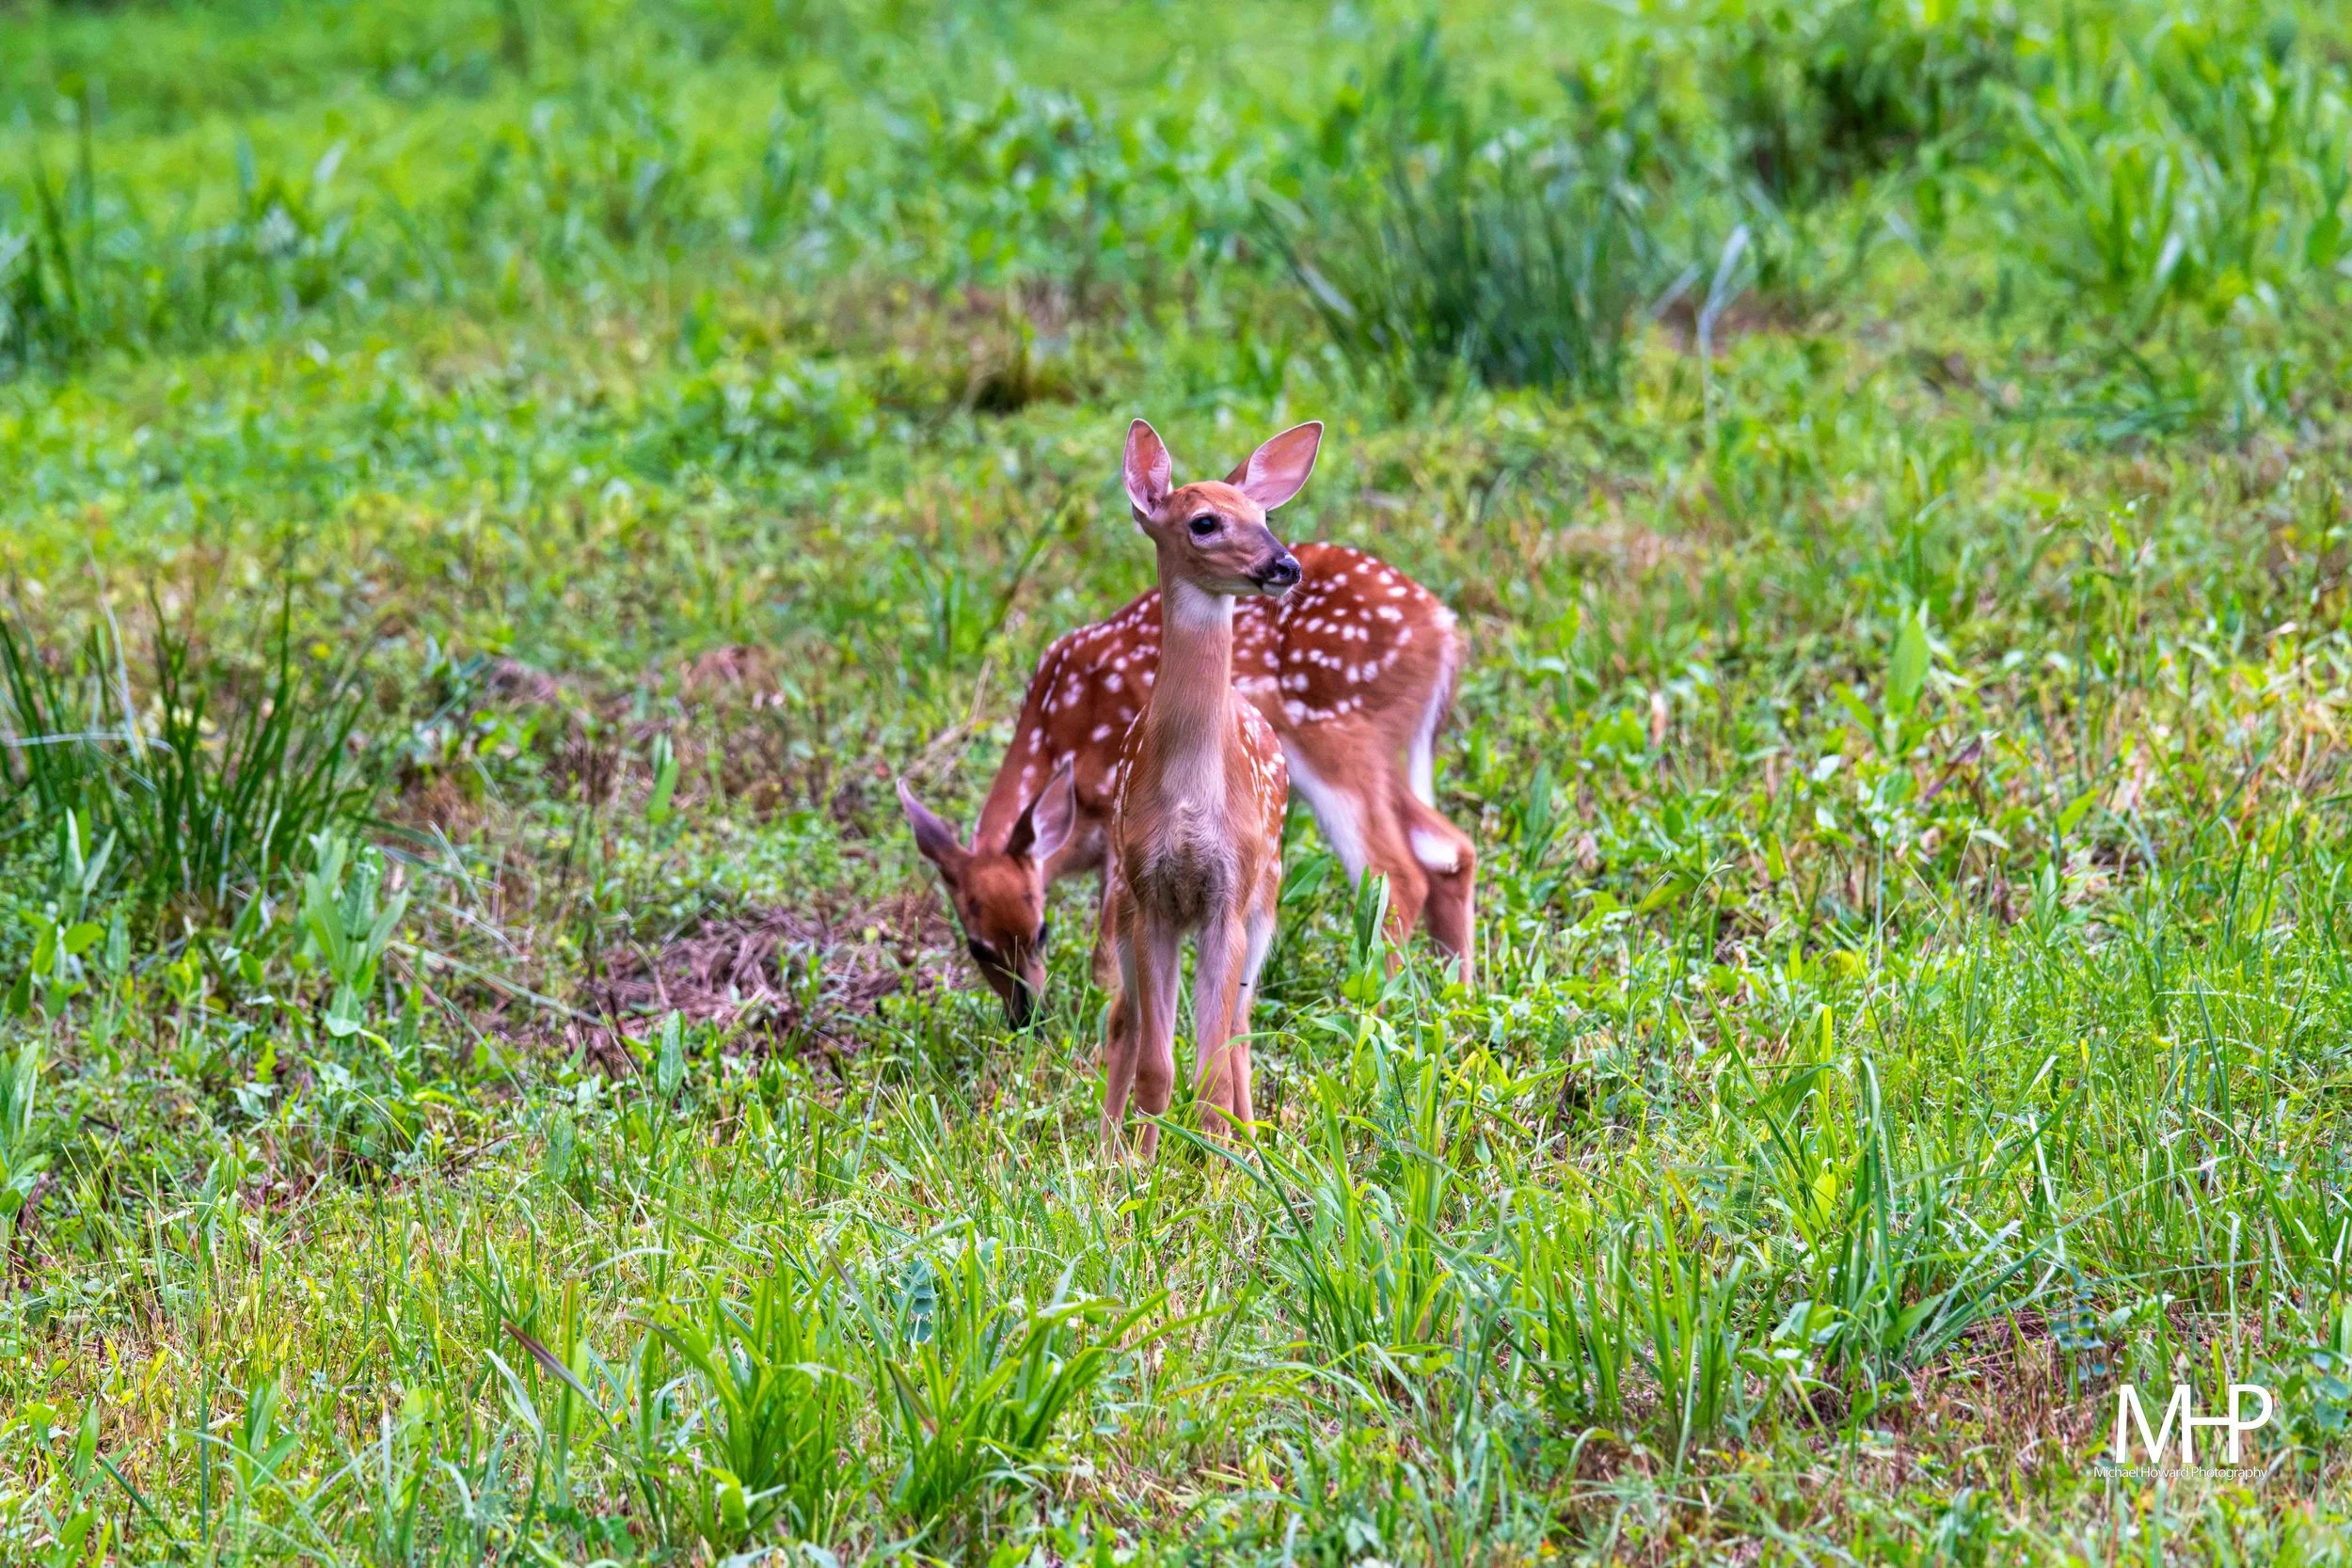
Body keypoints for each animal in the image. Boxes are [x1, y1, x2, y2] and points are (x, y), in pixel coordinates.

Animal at [898, 461, 1476, 1032]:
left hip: (1338, 738)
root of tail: (1446, 629)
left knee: (1398, 871)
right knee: (1450, 849)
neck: (1057, 733)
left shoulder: (1119, 813)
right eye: (977, 946)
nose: (1026, 1017)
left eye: (1040, 931)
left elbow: (1107, 952)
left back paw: (1372, 1010)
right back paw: (1458, 996)